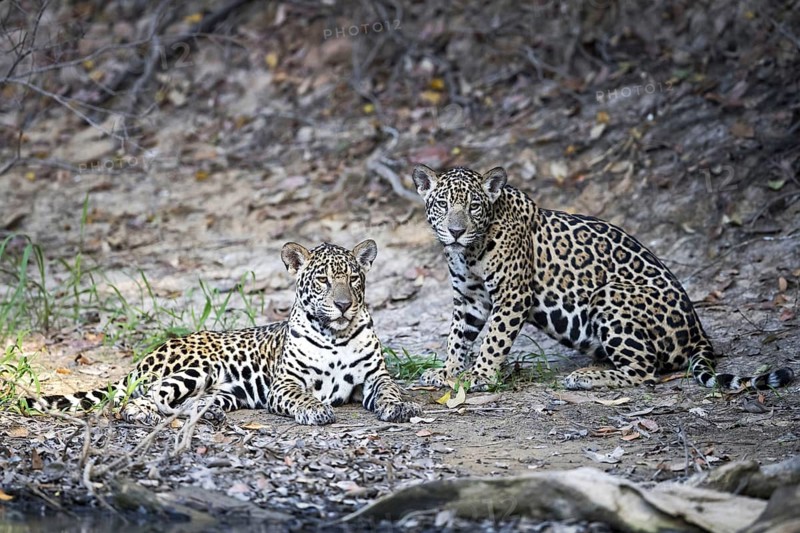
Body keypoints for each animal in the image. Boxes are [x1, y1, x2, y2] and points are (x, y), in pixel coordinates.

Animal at [26, 240, 423, 425]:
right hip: (199, 368)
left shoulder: (374, 377)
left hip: (225, 391)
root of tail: (145, 357)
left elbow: (390, 389)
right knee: (144, 397)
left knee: (181, 402)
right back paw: (144, 414)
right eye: (323, 279)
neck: (336, 336)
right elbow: (302, 396)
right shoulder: (286, 383)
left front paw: (402, 405)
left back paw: (207, 414)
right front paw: (316, 410)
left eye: (354, 278)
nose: (343, 305)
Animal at [411, 164, 795, 392]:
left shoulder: (512, 296)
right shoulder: (469, 299)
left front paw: (480, 375)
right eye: (443, 204)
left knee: (644, 370)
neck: (468, 253)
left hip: (610, 295)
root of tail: (699, 332)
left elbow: (493, 339)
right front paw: (447, 371)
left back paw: (584, 377)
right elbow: (458, 337)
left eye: (474, 206)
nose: (456, 231)